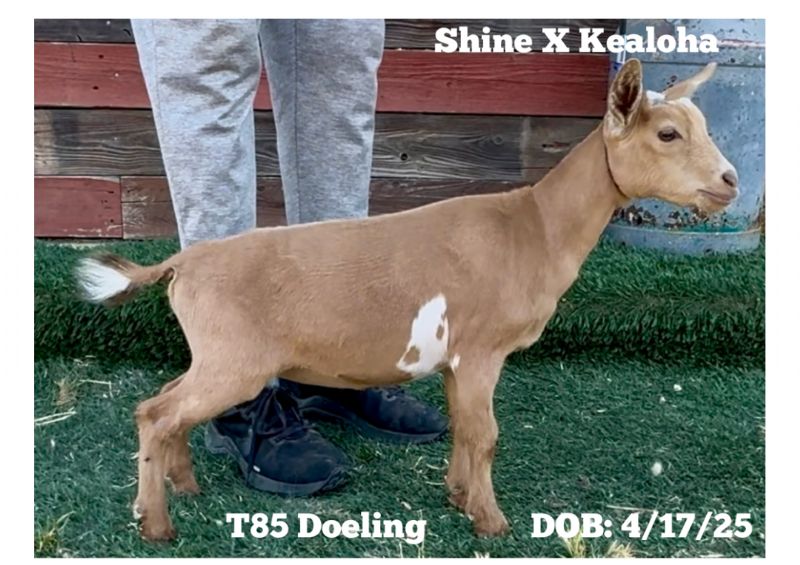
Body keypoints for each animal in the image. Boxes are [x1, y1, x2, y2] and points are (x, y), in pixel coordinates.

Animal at [76, 59, 738, 541]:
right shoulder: (482, 350)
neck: (534, 226)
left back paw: (183, 485)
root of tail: (183, 263)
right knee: (156, 413)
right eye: (668, 133)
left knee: (164, 406)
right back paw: (156, 525)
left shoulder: (458, 360)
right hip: (235, 359)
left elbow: (464, 430)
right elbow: (486, 435)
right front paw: (492, 522)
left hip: (214, 354)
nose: (730, 181)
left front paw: (458, 495)